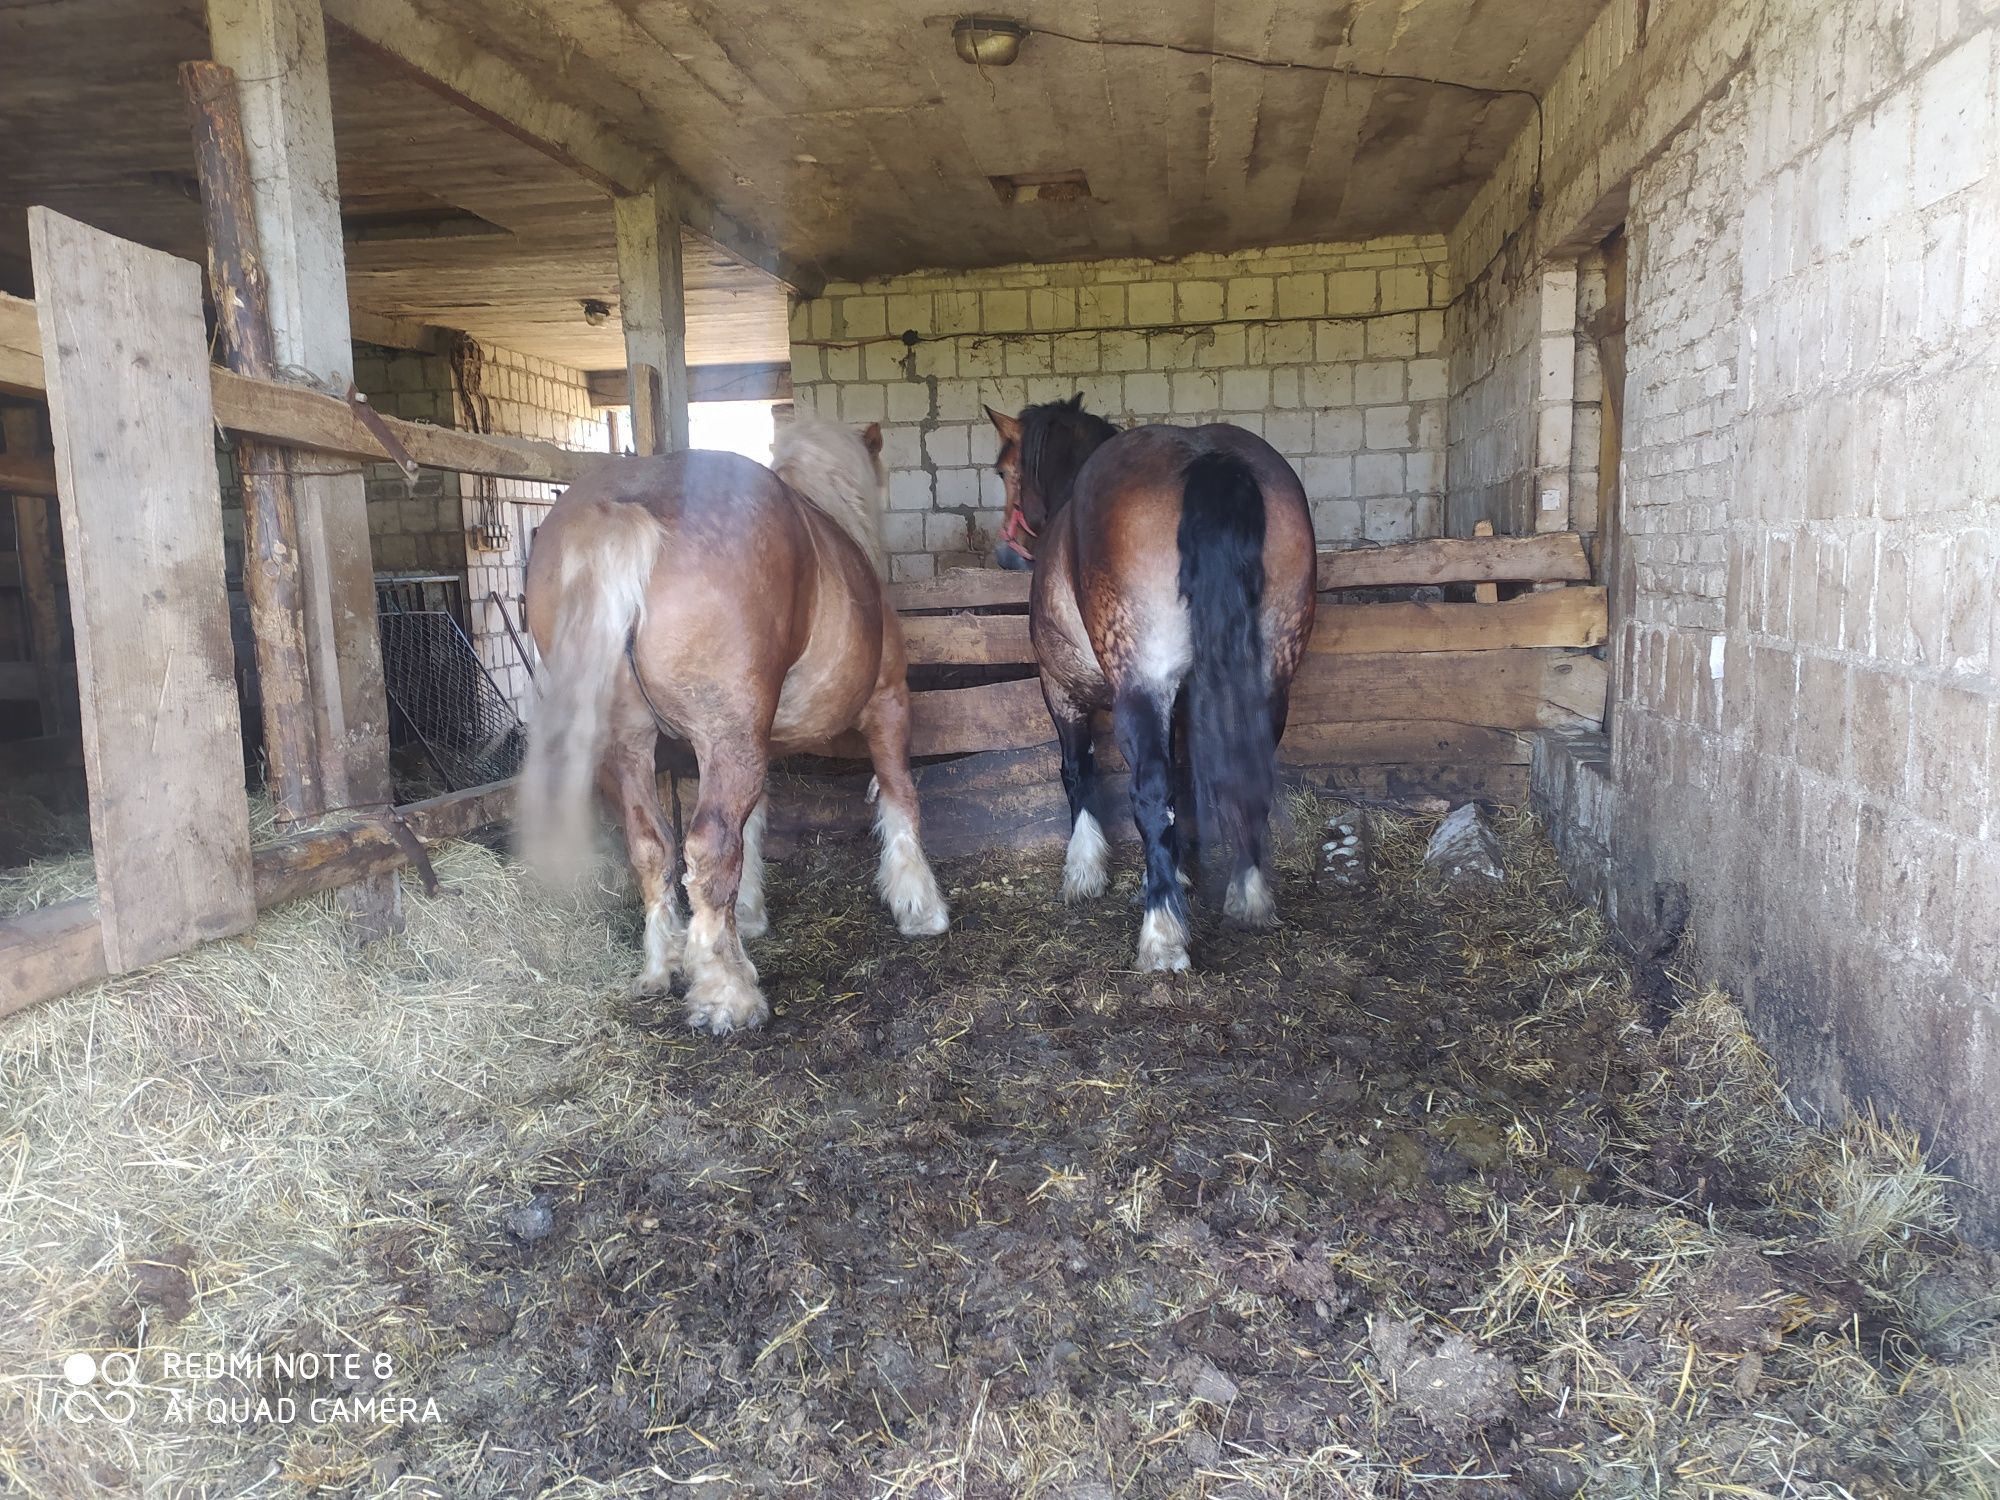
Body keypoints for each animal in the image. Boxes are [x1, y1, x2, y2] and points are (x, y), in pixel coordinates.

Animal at [516, 420, 952, 1032]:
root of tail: (627, 507)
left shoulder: (754, 738)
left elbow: (752, 826)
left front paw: (745, 916)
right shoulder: (889, 702)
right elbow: (899, 797)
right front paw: (919, 907)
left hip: (633, 743)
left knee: (652, 845)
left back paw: (664, 966)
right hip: (728, 735)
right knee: (707, 849)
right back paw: (728, 995)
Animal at [984, 394, 1312, 976]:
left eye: (1004, 470)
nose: (1007, 551)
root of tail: (1209, 459)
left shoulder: (1059, 688)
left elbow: (1079, 771)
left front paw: (1085, 870)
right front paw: (1179, 871)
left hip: (1140, 683)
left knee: (1150, 789)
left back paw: (1162, 936)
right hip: (1272, 679)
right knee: (1249, 773)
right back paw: (1248, 897)